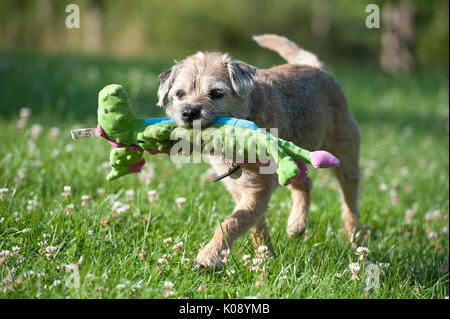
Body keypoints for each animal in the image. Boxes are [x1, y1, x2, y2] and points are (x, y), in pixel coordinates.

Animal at [156, 33, 360, 268]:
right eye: (179, 93)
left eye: (216, 93)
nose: (189, 112)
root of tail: (316, 66)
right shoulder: (241, 189)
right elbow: (254, 224)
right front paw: (264, 256)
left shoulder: (257, 190)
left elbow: (232, 223)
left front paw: (208, 257)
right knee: (305, 184)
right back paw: (296, 224)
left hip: (345, 158)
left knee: (350, 205)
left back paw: (356, 242)